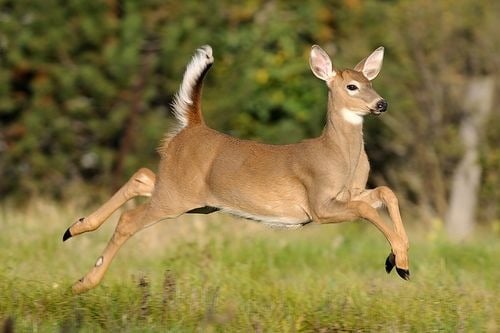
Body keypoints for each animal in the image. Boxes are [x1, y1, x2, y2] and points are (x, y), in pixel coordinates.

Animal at [62, 44, 410, 294]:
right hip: (175, 197)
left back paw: (74, 228)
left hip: (191, 197)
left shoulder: (350, 193)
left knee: (142, 176)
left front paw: (397, 258)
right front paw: (401, 261)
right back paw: (82, 282)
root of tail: (192, 127)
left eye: (370, 82)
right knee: (129, 219)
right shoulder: (318, 204)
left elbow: (386, 192)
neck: (338, 155)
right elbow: (366, 210)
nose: (382, 104)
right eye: (352, 86)